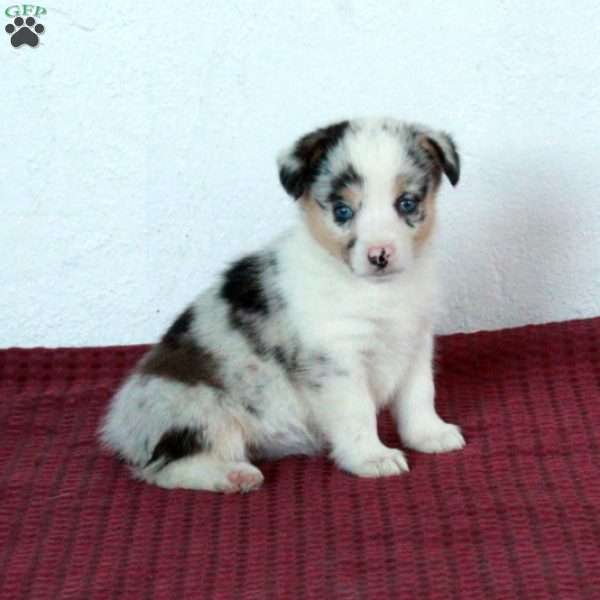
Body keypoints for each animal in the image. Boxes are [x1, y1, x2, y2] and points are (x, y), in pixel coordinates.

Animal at [99, 117, 464, 492]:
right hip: (200, 410)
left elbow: (419, 395)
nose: (380, 255)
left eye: (407, 203)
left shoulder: (416, 343)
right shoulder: (337, 360)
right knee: (165, 468)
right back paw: (234, 475)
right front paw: (372, 457)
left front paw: (429, 434)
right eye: (342, 211)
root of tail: (119, 428)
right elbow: (357, 412)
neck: (378, 291)